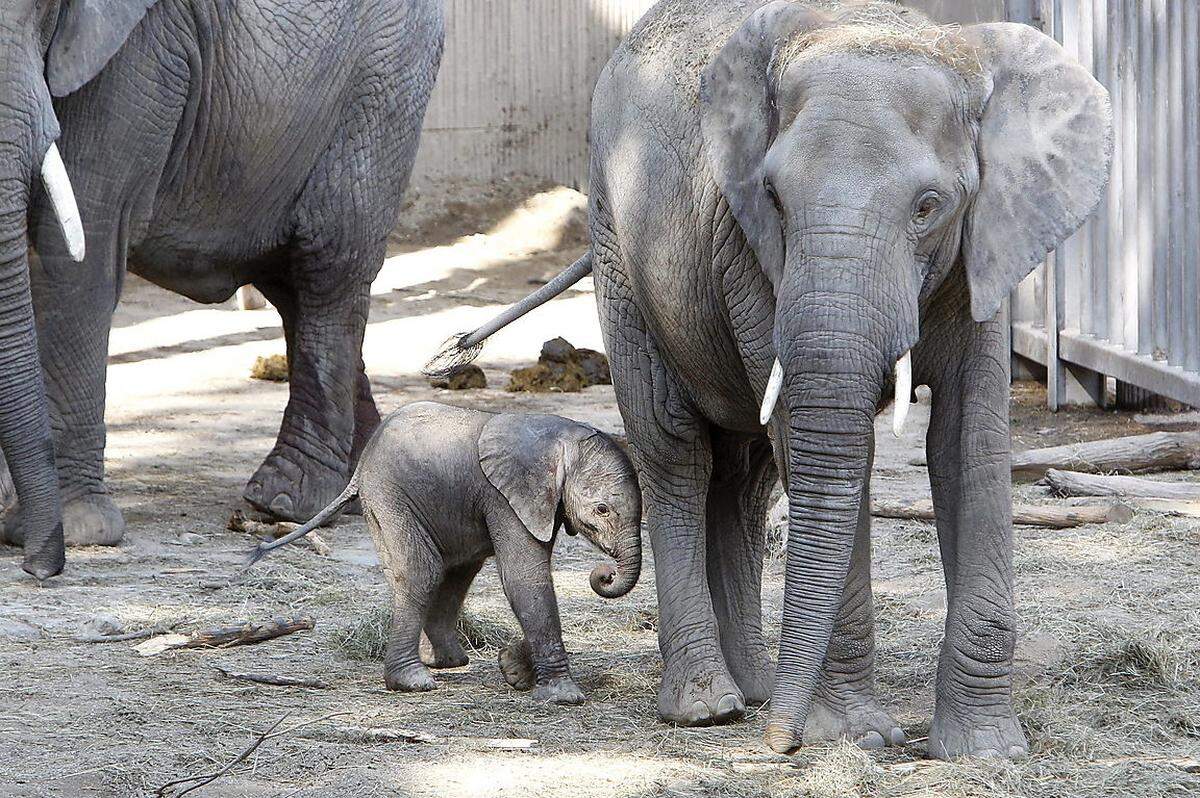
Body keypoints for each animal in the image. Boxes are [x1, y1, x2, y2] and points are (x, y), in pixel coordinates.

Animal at [0, 0, 446, 554]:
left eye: (40, 9)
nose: (43, 566)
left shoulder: (137, 55)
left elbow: (78, 246)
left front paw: (76, 530)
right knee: (291, 286)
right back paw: (358, 490)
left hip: (383, 84)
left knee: (326, 267)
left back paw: (284, 502)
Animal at [249, 400, 643, 700]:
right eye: (602, 510)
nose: (604, 574)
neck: (562, 438)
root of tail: (360, 467)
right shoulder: (506, 498)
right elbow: (524, 578)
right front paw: (564, 696)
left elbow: (523, 581)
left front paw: (513, 668)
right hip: (390, 495)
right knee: (423, 571)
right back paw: (414, 681)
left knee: (457, 570)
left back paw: (447, 661)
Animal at [448, 0, 1113, 758]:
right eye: (773, 198)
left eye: (928, 207)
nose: (780, 744)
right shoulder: (749, 249)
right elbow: (815, 438)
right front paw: (855, 738)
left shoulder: (986, 249)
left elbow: (968, 441)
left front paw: (982, 752)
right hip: (617, 244)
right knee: (676, 450)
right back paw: (709, 706)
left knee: (743, 477)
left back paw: (758, 691)